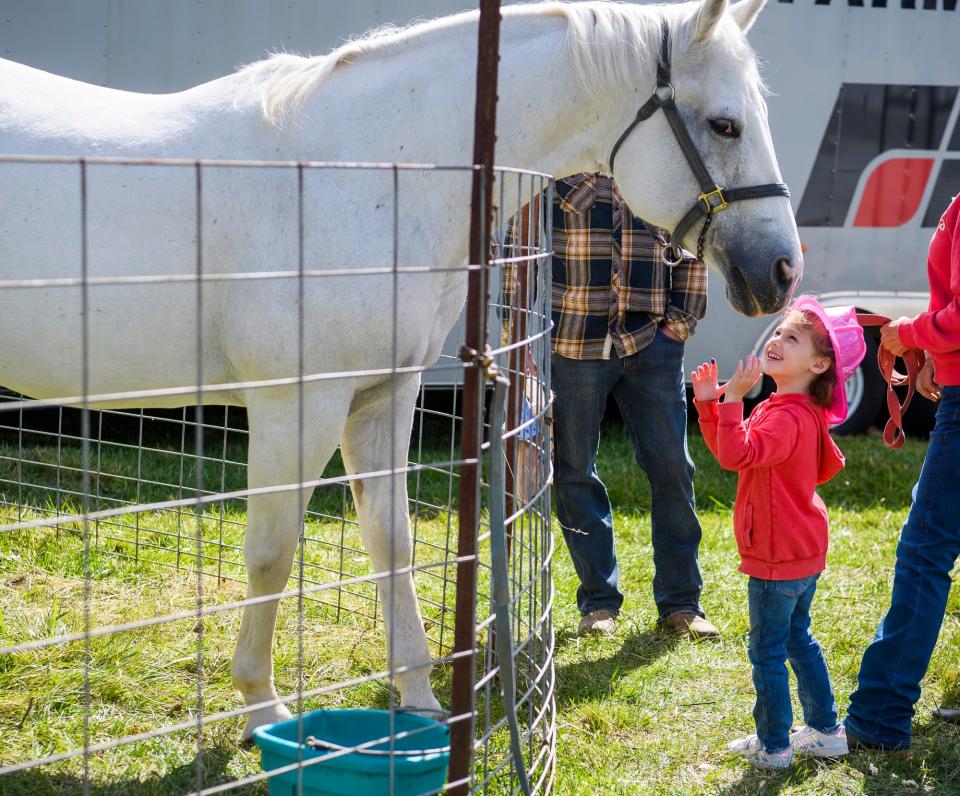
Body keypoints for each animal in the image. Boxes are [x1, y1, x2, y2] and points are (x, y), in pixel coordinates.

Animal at [0, 0, 804, 740]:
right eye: (724, 125)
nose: (781, 270)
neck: (360, 174)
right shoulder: (298, 406)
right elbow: (271, 553)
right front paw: (261, 703)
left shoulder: (383, 397)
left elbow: (393, 542)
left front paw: (418, 701)